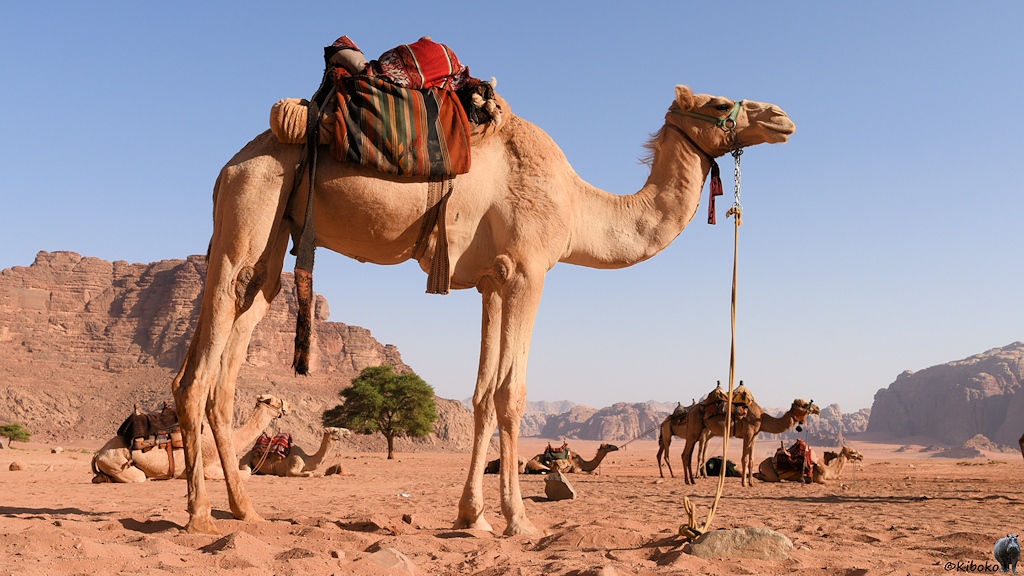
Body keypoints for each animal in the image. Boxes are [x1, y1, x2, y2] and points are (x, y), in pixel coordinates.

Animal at [92, 395, 289, 483]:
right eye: (277, 400)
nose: (288, 407)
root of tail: (98, 454)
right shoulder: (207, 468)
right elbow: (244, 474)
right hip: (116, 461)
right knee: (138, 477)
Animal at [169, 81, 794, 536]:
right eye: (719, 102)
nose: (782, 117)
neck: (577, 205)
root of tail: (229, 167)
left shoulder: (494, 282)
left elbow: (481, 396)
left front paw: (474, 517)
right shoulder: (529, 270)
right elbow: (511, 395)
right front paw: (519, 520)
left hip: (268, 243)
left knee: (224, 365)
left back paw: (247, 511)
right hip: (247, 216)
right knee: (198, 374)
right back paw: (198, 514)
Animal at [679, 398, 820, 486]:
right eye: (805, 404)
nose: (818, 408)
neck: (762, 418)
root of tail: (691, 411)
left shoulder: (755, 435)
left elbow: (751, 459)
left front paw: (751, 483)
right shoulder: (748, 432)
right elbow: (745, 459)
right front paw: (744, 483)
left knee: (689, 454)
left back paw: (692, 480)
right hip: (694, 429)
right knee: (686, 454)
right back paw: (688, 481)